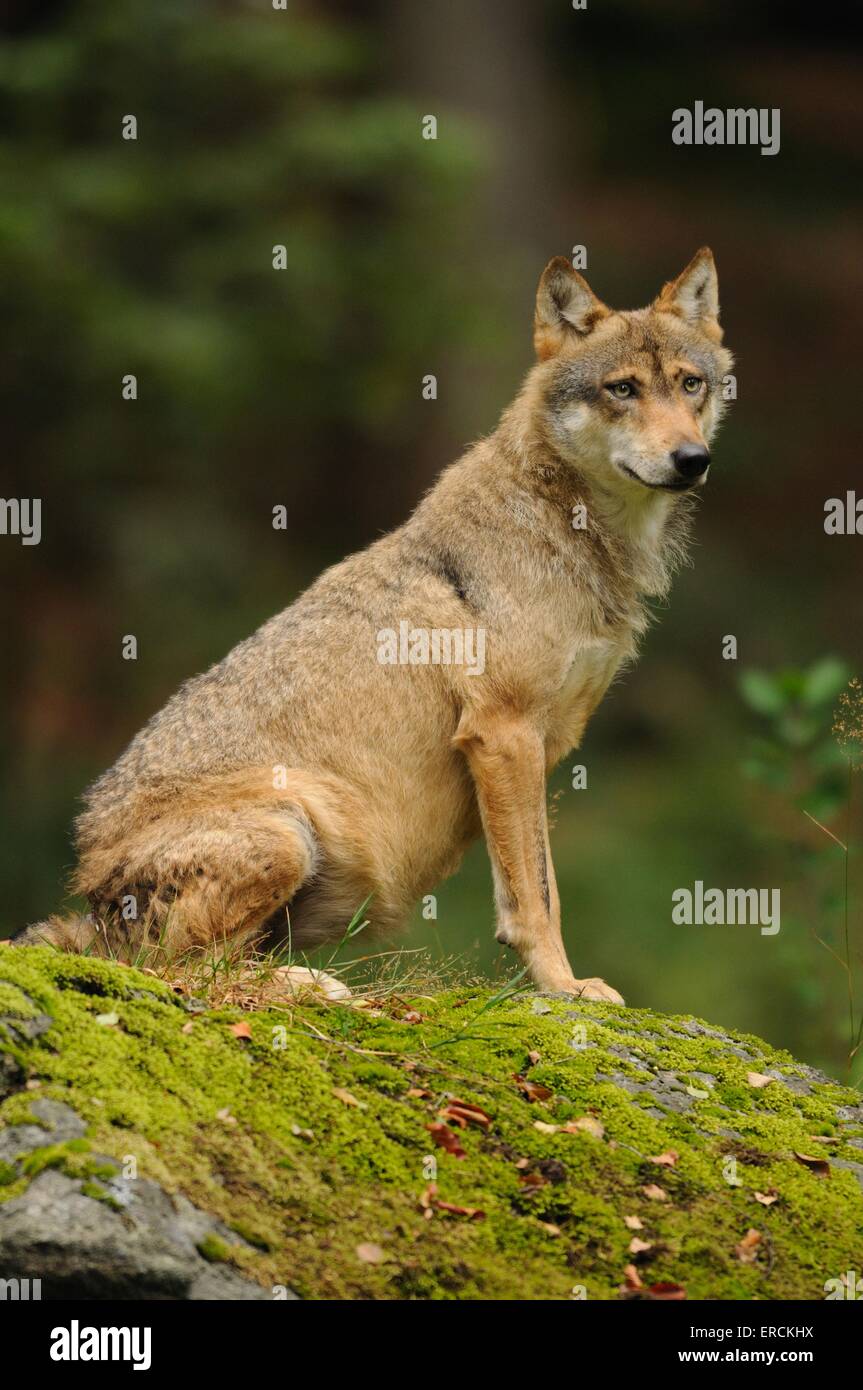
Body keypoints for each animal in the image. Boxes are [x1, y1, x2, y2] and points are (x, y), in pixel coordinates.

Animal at [13, 250, 728, 1006]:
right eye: (622, 389)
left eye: (690, 384)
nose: (692, 459)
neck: (569, 525)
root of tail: (91, 897)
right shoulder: (503, 735)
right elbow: (536, 895)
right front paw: (564, 987)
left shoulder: (542, 742)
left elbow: (536, 884)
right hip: (286, 828)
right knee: (188, 969)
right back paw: (313, 986)